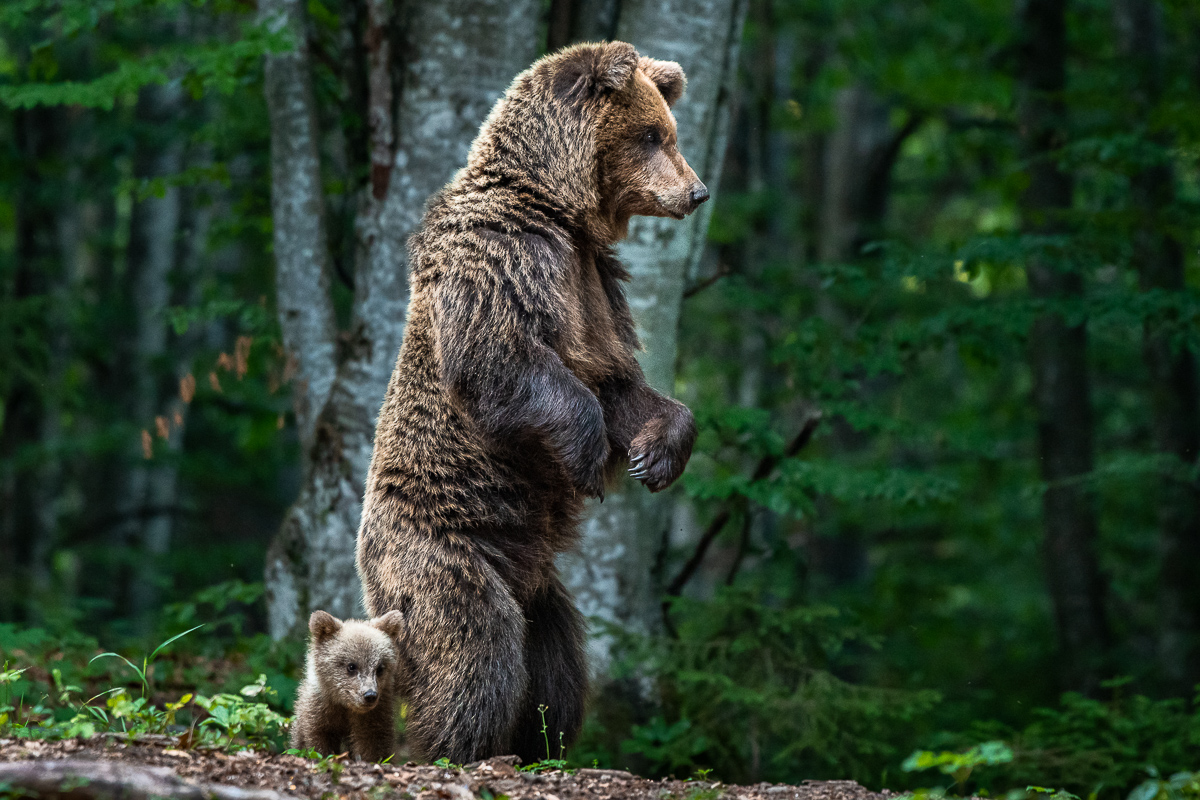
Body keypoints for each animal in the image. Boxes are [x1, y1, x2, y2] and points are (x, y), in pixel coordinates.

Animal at [355, 40, 710, 767]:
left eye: (670, 132)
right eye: (652, 135)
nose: (697, 191)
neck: (558, 208)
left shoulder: (593, 282)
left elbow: (621, 385)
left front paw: (655, 455)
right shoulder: (506, 257)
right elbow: (503, 361)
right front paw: (587, 459)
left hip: (538, 580)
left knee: (556, 664)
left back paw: (540, 741)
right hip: (443, 552)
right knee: (476, 644)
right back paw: (451, 746)